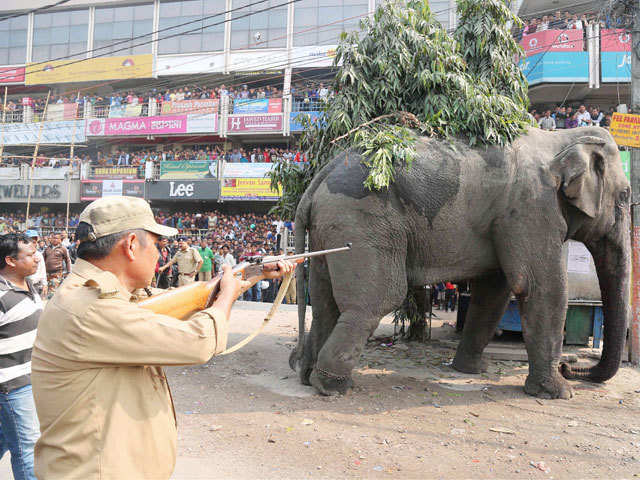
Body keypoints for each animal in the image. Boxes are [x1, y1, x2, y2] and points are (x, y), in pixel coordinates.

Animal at [290, 125, 632, 400]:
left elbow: (495, 291)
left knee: (324, 301)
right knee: (377, 299)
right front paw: (560, 393)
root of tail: (319, 176)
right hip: (361, 221)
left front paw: (475, 369)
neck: (559, 137)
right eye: (626, 196)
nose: (569, 366)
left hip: (328, 229)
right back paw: (333, 387)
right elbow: (539, 288)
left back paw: (307, 377)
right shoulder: (532, 207)